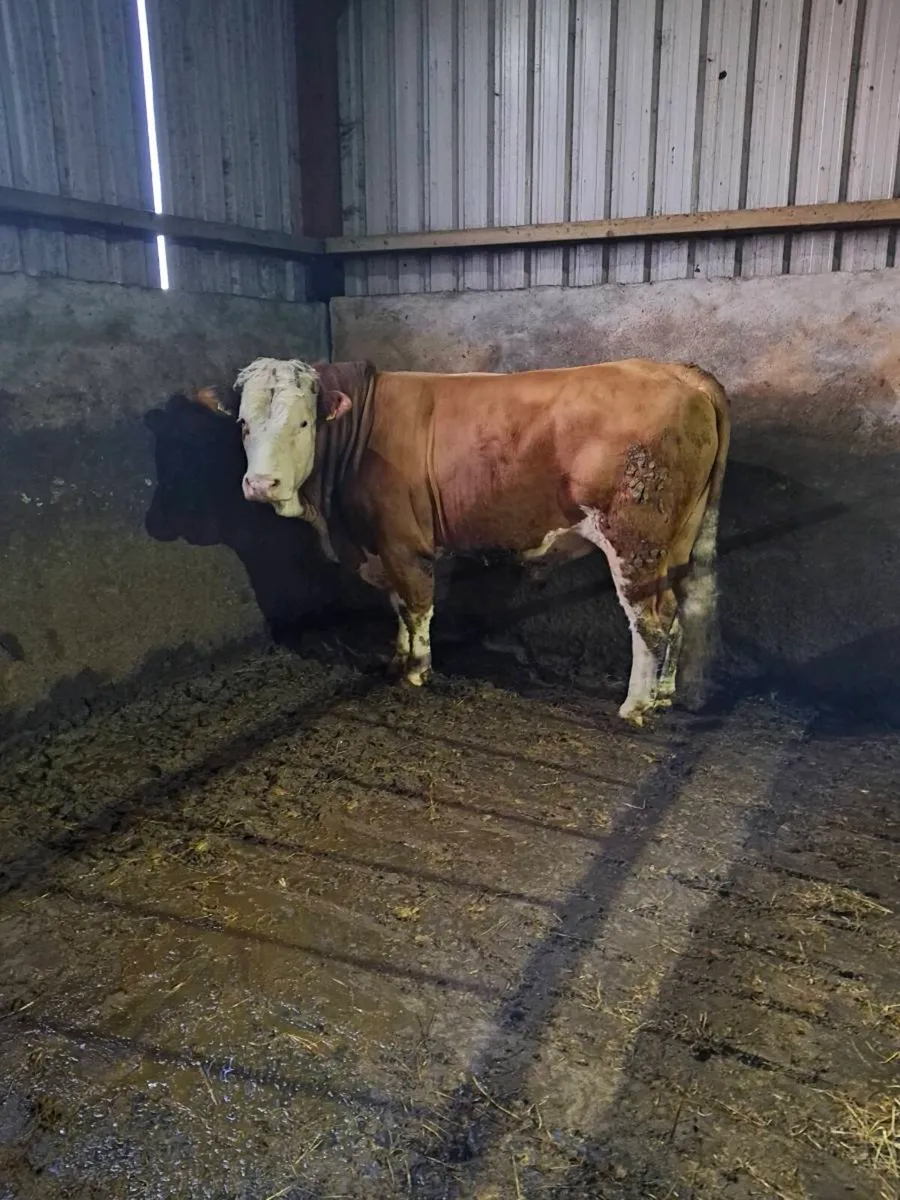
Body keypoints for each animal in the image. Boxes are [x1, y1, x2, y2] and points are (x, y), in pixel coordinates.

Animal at [194, 356, 730, 725]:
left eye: (303, 422)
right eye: (243, 423)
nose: (262, 484)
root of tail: (676, 371)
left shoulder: (402, 539)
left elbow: (416, 605)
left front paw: (416, 671)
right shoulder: (381, 546)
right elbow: (397, 606)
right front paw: (396, 659)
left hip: (634, 539)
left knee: (649, 621)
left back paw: (635, 704)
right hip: (678, 541)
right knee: (679, 612)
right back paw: (665, 694)